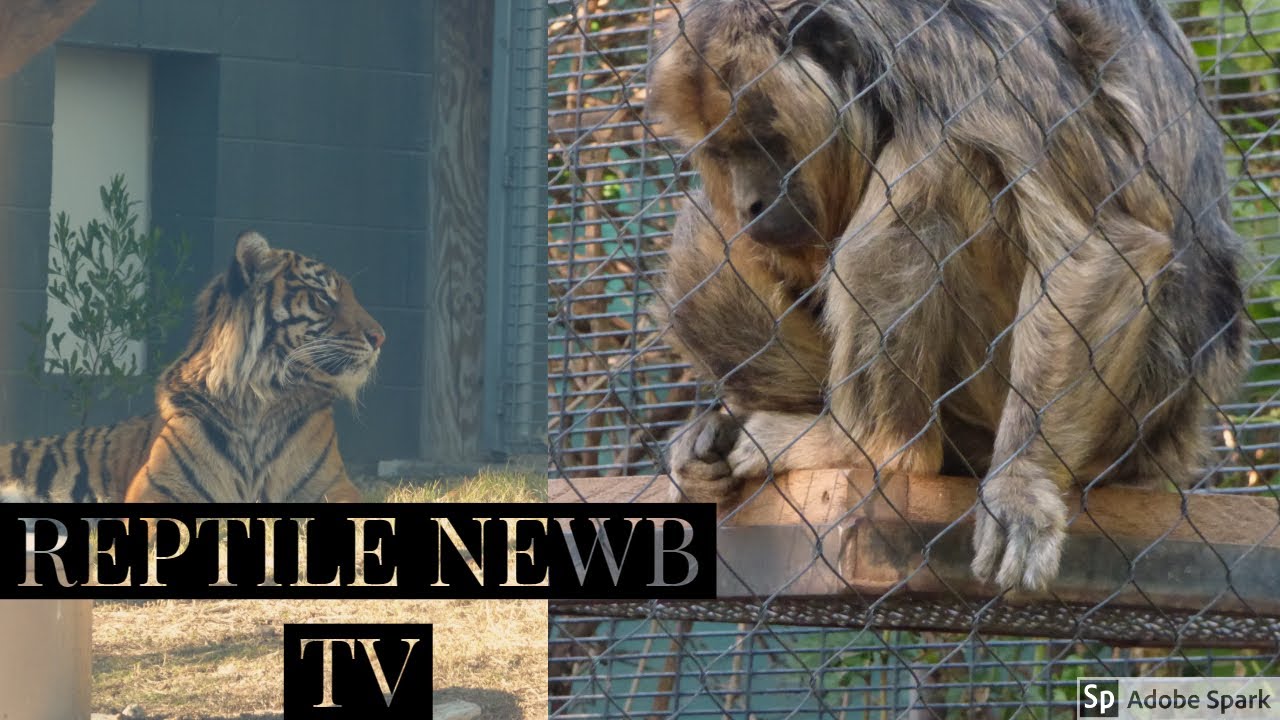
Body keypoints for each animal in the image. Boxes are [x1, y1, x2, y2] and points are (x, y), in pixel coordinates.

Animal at [646, 0, 1248, 592]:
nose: (750, 204)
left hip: (1122, 410)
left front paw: (1020, 483)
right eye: (722, 153)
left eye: (765, 143)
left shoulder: (970, 53)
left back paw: (868, 445)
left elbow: (1096, 250)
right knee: (704, 228)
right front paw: (713, 425)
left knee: (937, 164)